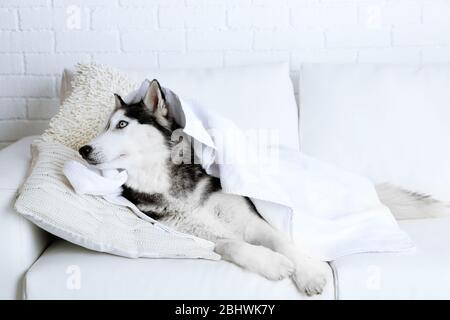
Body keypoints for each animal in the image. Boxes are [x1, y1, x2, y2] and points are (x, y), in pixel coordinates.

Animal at [81, 79, 450, 296]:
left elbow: (281, 239)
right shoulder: (193, 235)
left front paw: (308, 271)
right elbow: (232, 244)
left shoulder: (250, 218)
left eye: (121, 125)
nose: (83, 149)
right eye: (104, 127)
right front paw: (272, 264)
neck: (166, 181)